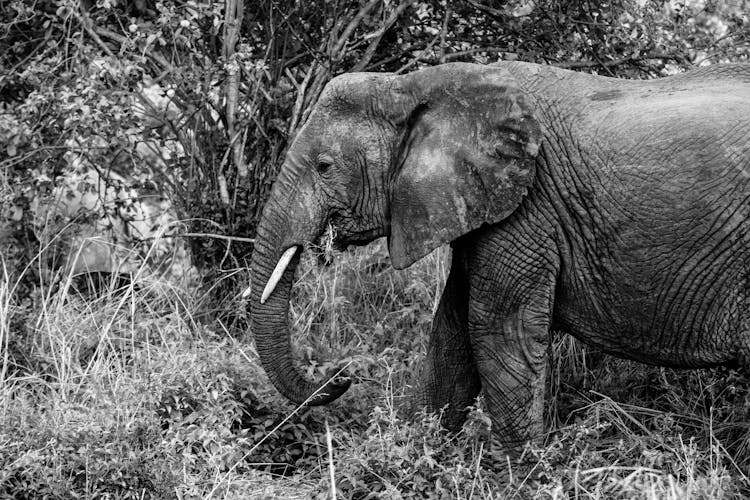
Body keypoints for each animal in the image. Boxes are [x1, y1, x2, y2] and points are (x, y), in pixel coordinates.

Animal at [251, 60, 750, 448]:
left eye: (324, 166)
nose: (343, 374)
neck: (412, 85)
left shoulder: (529, 207)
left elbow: (496, 327)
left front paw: (517, 475)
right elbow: (451, 330)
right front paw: (414, 451)